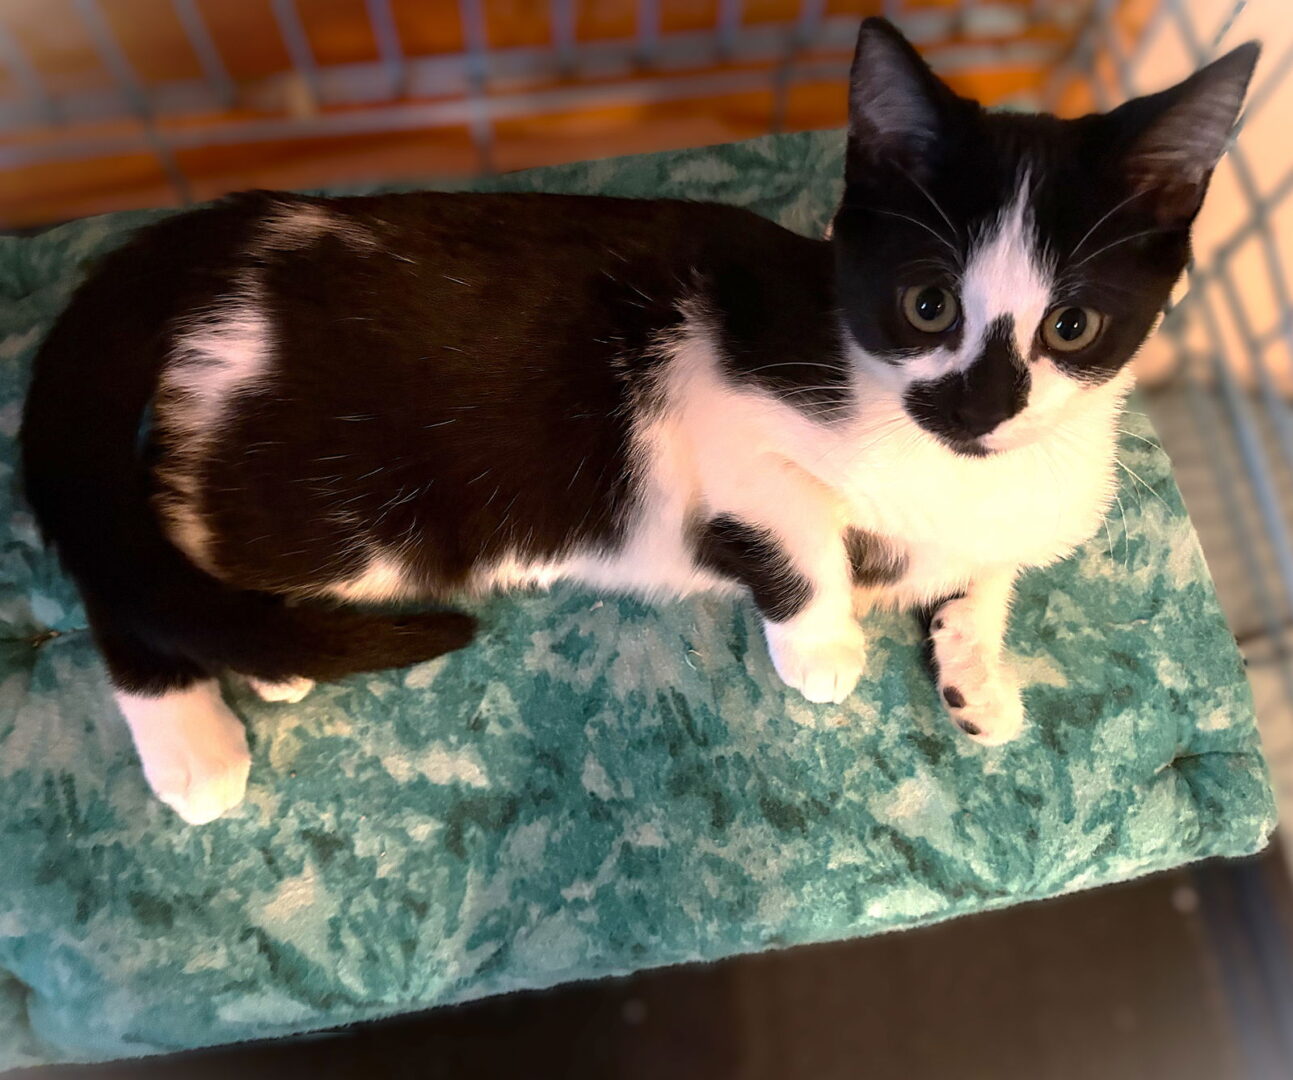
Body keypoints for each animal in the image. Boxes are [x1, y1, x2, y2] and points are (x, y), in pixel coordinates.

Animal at [20, 18, 1257, 824]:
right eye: (927, 306)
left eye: (1074, 327)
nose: (980, 404)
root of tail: (241, 231)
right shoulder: (722, 402)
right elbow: (801, 533)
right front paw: (825, 643)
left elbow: (989, 568)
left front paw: (975, 663)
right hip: (344, 506)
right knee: (127, 557)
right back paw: (195, 735)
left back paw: (266, 656)